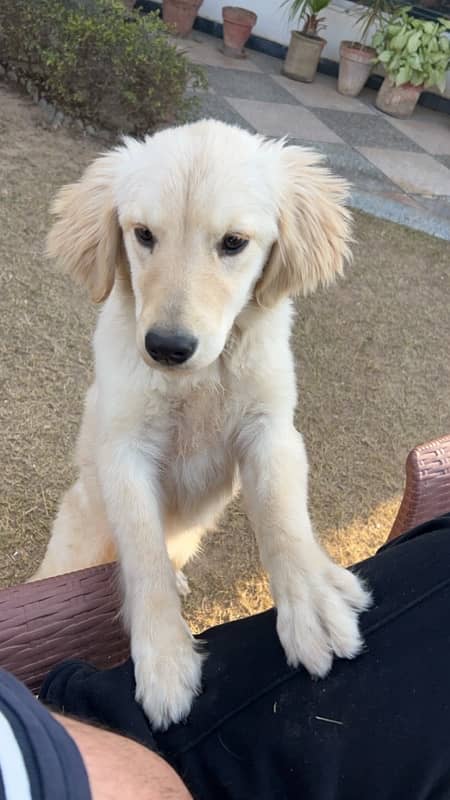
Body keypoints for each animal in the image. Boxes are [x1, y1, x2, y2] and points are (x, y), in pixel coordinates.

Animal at [31, 120, 370, 732]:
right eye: (143, 234)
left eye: (234, 243)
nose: (166, 347)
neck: (201, 378)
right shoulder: (125, 451)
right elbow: (143, 556)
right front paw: (166, 659)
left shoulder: (271, 430)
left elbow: (284, 519)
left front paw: (312, 605)